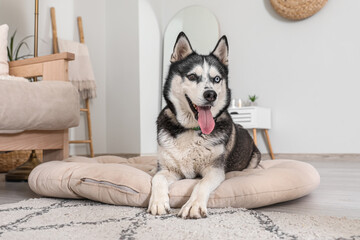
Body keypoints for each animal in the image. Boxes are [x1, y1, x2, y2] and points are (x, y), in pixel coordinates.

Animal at [148, 32, 260, 219]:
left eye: (217, 79)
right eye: (192, 76)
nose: (211, 95)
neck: (191, 129)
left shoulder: (214, 170)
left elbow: (201, 183)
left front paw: (193, 205)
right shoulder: (170, 169)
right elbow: (158, 178)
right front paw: (158, 202)